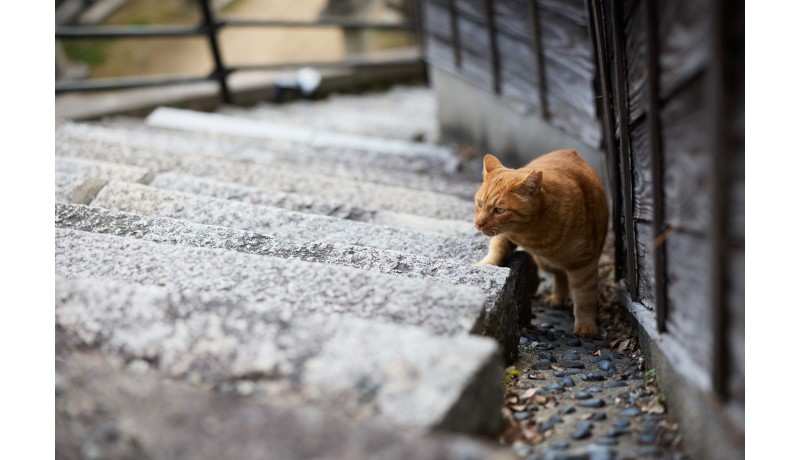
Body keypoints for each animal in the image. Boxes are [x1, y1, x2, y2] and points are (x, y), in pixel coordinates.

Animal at [472, 149, 608, 336]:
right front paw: (486, 264)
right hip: (545, 264)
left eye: (499, 210)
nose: (479, 223)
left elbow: (584, 297)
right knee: (559, 273)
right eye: (480, 204)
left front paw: (586, 325)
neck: (530, 234)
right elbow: (496, 248)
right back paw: (557, 298)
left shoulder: (584, 263)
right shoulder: (504, 234)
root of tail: (571, 151)